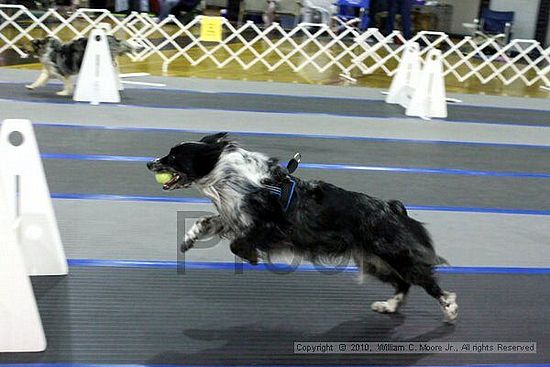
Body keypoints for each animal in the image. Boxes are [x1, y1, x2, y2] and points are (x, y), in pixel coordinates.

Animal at [148, 134, 462, 324]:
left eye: (173, 157)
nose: (150, 163)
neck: (229, 175)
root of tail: (393, 208)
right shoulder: (235, 215)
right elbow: (206, 223)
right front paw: (189, 240)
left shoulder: (272, 226)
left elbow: (238, 243)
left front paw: (251, 257)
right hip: (372, 261)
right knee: (402, 283)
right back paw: (389, 306)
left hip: (392, 254)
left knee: (424, 279)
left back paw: (449, 307)